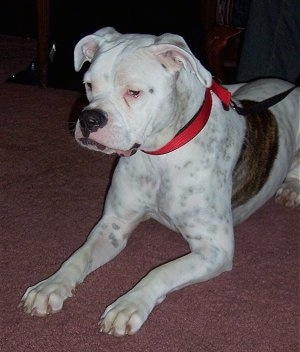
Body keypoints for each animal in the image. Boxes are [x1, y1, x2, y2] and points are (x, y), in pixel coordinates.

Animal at [19, 26, 300, 336]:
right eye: (88, 85)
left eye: (134, 92)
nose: (89, 118)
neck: (159, 154)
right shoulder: (113, 227)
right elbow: (78, 256)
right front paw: (50, 286)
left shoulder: (214, 249)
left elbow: (160, 271)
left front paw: (130, 304)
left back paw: (291, 189)